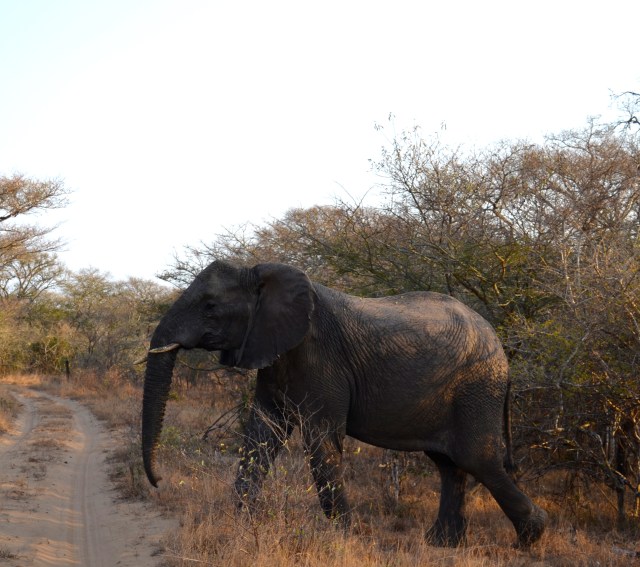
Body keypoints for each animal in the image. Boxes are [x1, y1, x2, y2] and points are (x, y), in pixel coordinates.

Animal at [141, 260, 546, 548]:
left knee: (477, 459)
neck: (264, 276)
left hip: (477, 387)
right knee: (449, 464)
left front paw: (346, 537)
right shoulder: (272, 352)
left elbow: (321, 442)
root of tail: (500, 345)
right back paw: (442, 545)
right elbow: (261, 435)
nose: (158, 482)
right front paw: (239, 527)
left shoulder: (320, 358)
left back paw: (531, 538)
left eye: (210, 306)